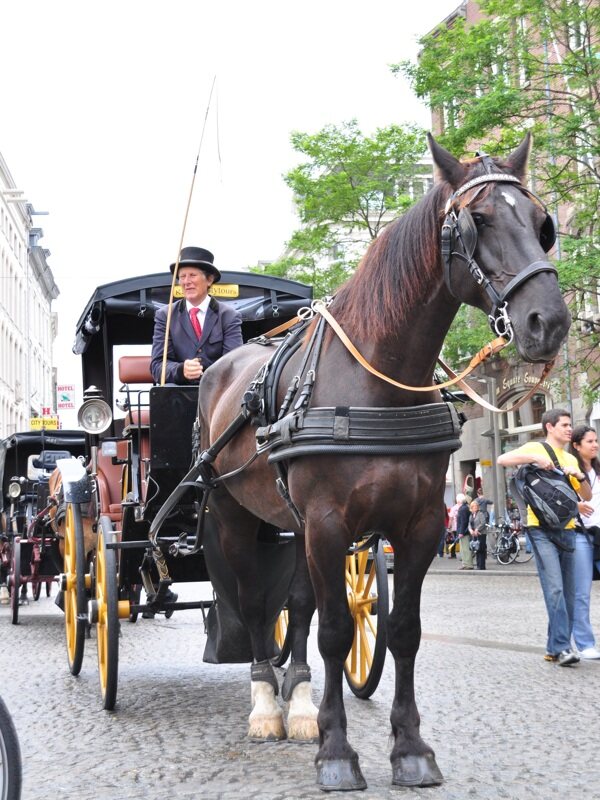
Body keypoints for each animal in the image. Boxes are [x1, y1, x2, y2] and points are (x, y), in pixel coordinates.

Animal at [198, 134, 572, 792]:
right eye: (477, 221)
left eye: (541, 222)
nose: (547, 322)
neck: (380, 381)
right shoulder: (327, 525)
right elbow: (337, 630)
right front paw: (337, 753)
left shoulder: (417, 526)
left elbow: (400, 630)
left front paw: (409, 748)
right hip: (235, 515)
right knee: (253, 605)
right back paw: (267, 706)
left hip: (291, 526)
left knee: (296, 609)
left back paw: (300, 706)